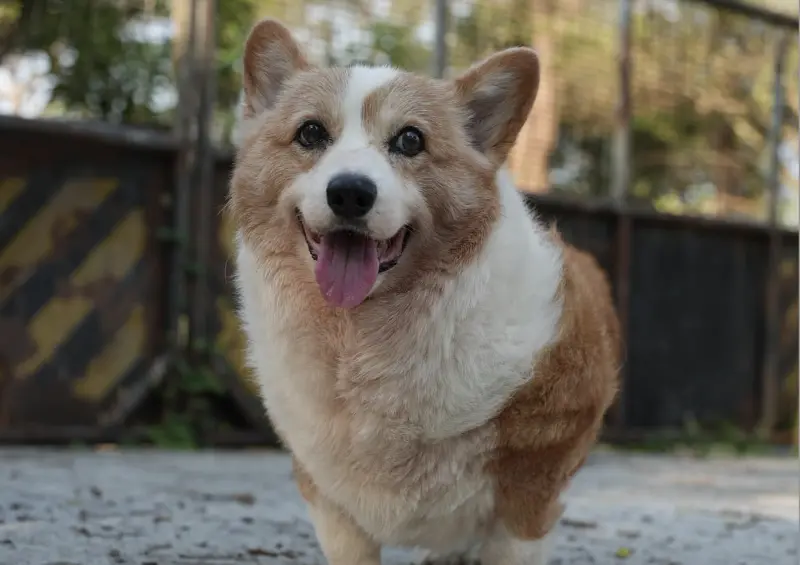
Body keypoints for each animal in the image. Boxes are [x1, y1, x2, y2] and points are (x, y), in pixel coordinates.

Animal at [228, 17, 620, 564]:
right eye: (310, 132)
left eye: (410, 140)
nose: (349, 192)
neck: (364, 336)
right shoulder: (332, 503)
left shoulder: (531, 496)